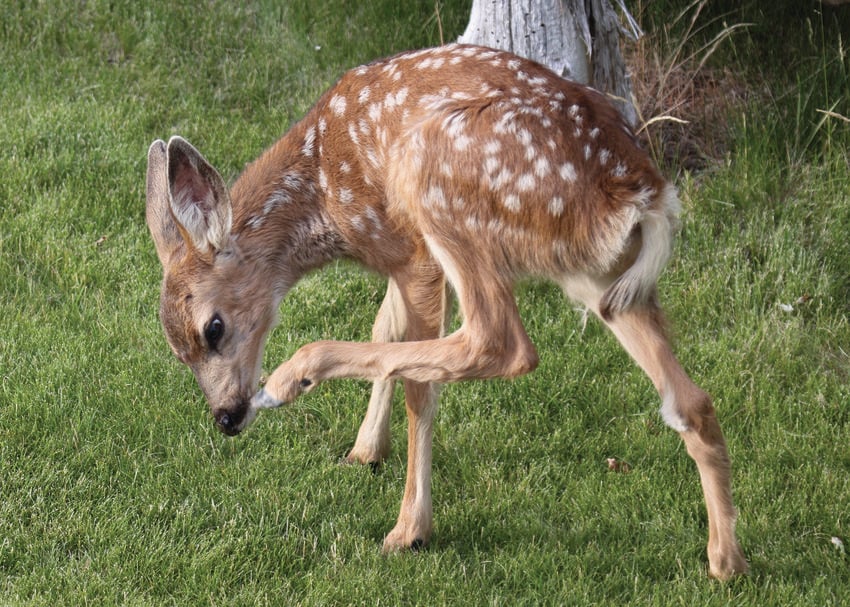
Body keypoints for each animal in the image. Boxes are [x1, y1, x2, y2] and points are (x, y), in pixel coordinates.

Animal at [147, 41, 748, 580]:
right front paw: (365, 450)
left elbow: (417, 382)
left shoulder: (409, 249)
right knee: (691, 399)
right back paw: (725, 561)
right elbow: (386, 331)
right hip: (602, 276)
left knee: (499, 343)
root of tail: (643, 193)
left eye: (214, 328)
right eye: (177, 352)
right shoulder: (400, 253)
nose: (226, 417)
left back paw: (299, 383)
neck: (321, 194)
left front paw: (411, 524)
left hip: (441, 185)